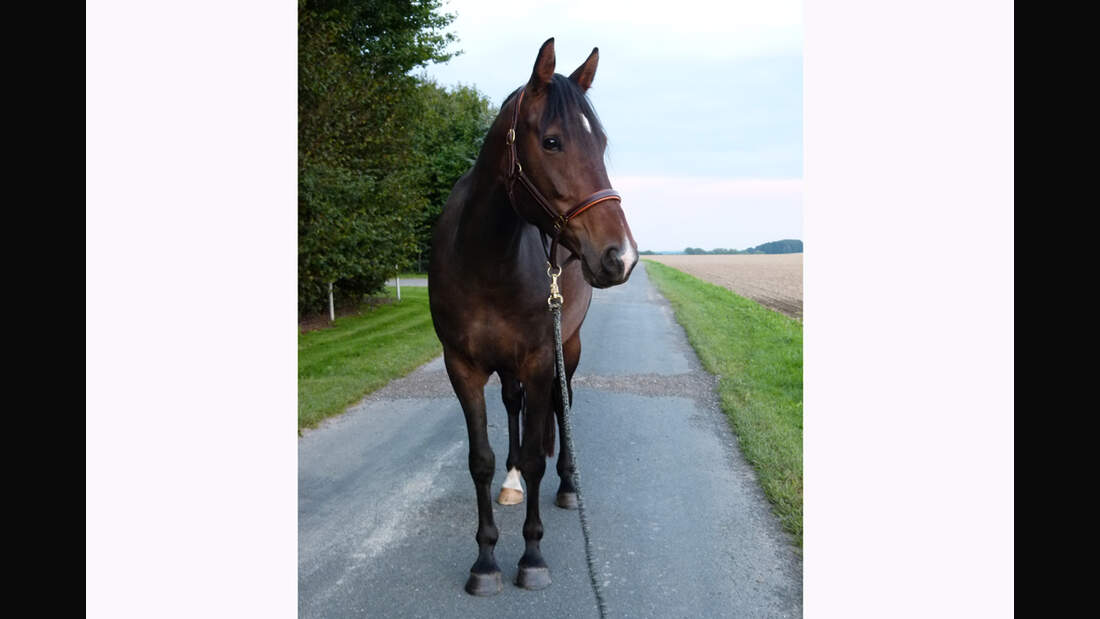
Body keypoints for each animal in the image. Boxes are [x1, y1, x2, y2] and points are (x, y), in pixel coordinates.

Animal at [426, 37, 642, 593]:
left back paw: (567, 483)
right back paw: (512, 482)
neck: (485, 259)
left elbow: (537, 448)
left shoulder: (544, 359)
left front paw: (532, 556)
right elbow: (479, 459)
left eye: (601, 143)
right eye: (551, 142)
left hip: (570, 345)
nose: (621, 256)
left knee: (563, 411)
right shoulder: (462, 366)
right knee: (513, 405)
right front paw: (485, 560)